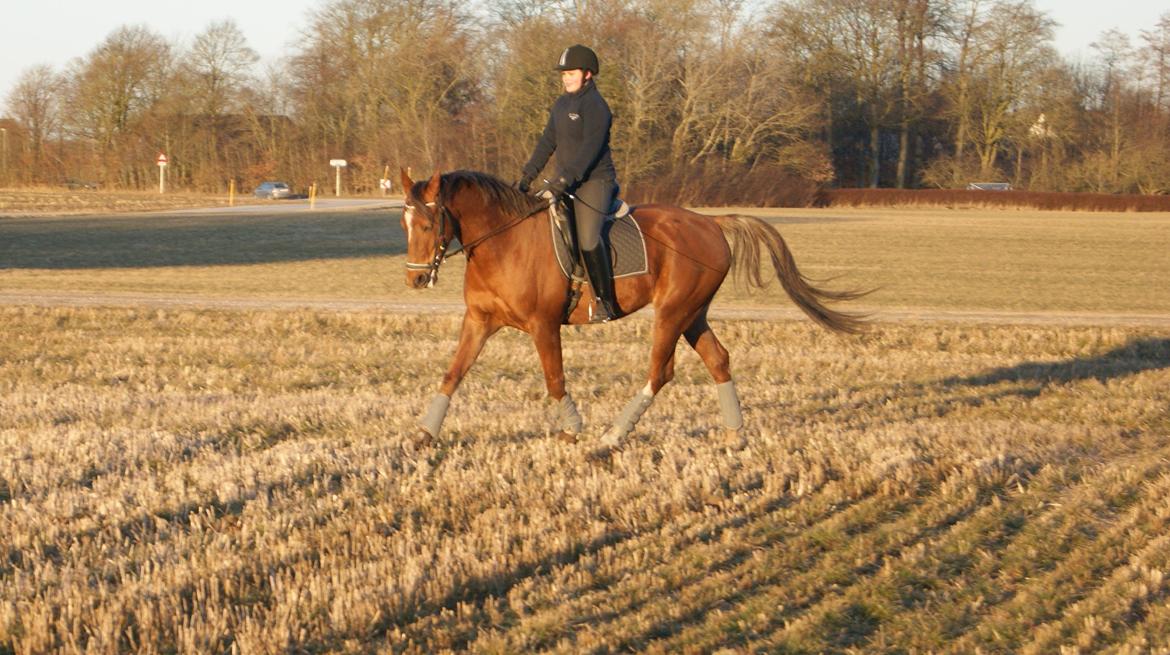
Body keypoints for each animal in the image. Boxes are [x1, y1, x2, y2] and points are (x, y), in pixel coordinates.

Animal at [397, 168, 865, 453]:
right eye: (404, 224)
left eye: (428, 224)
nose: (414, 280)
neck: (502, 241)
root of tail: (712, 223)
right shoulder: (478, 321)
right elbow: (453, 373)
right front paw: (423, 433)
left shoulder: (543, 325)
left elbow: (554, 379)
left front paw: (572, 428)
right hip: (693, 315)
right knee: (718, 360)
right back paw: (735, 435)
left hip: (672, 313)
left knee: (661, 371)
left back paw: (612, 437)